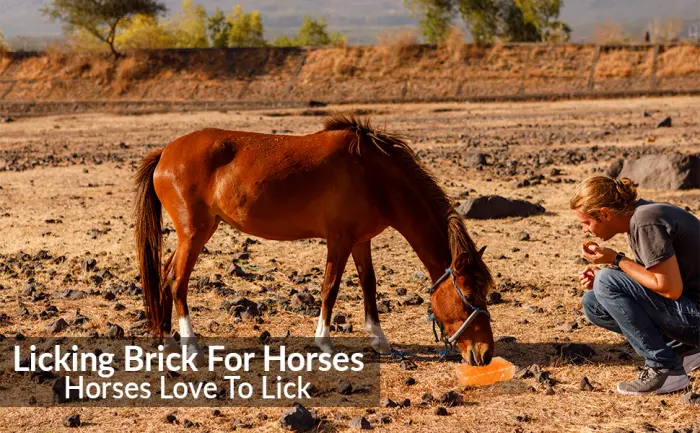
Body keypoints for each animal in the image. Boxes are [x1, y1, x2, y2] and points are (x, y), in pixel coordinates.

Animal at [135, 114, 495, 366]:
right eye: (468, 295)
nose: (486, 353)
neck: (373, 174)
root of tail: (165, 153)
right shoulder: (339, 240)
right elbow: (330, 289)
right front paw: (325, 343)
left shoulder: (361, 241)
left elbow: (369, 286)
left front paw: (380, 341)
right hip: (194, 233)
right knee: (177, 281)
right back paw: (191, 347)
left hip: (197, 233)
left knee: (165, 275)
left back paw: (168, 340)